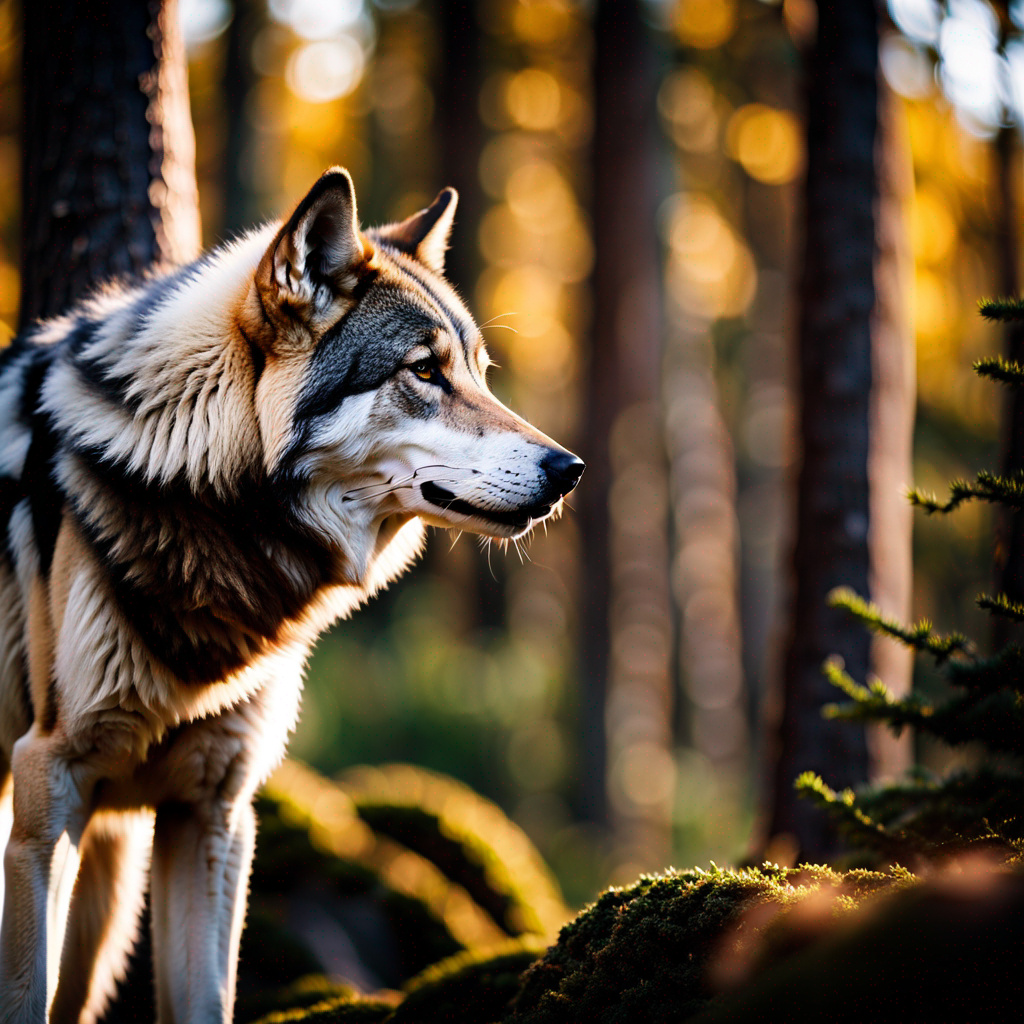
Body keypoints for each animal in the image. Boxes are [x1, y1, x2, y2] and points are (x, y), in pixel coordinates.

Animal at [0, 167, 583, 1023]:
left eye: (480, 372)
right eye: (424, 370)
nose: (569, 469)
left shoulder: (214, 811)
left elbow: (206, 1000)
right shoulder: (49, 783)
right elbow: (23, 996)